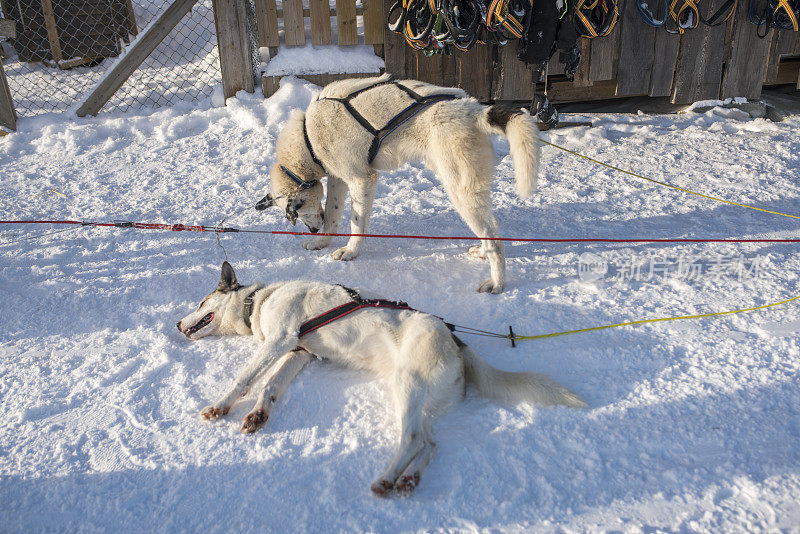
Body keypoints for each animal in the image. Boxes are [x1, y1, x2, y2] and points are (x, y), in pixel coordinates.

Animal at [178, 264, 584, 498]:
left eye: (200, 302)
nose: (177, 324)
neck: (259, 301)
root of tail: (456, 341)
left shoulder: (280, 341)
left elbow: (245, 379)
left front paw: (220, 406)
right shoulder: (299, 353)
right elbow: (270, 387)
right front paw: (259, 414)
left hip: (406, 386)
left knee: (412, 439)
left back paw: (387, 478)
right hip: (422, 402)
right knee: (430, 443)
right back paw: (409, 480)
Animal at [256, 73, 540, 296]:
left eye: (296, 212)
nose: (312, 230)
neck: (309, 137)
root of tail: (472, 109)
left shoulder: (361, 179)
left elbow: (356, 223)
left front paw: (350, 251)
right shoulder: (338, 180)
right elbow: (333, 216)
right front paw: (321, 242)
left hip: (460, 191)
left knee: (494, 240)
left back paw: (496, 283)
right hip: (471, 190)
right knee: (492, 229)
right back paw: (482, 253)